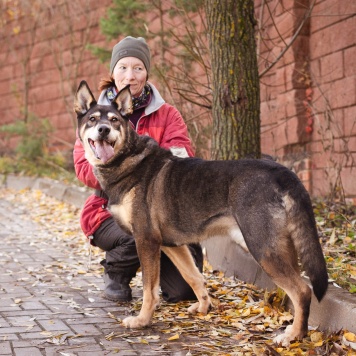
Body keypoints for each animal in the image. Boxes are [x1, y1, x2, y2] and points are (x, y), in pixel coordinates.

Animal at [73, 81, 326, 348]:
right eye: (92, 119)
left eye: (114, 120)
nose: (103, 130)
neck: (127, 161)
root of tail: (282, 172)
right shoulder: (172, 246)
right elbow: (193, 276)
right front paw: (204, 307)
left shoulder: (146, 240)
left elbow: (149, 289)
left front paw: (142, 320)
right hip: (282, 247)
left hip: (264, 249)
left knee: (302, 290)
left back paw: (294, 335)